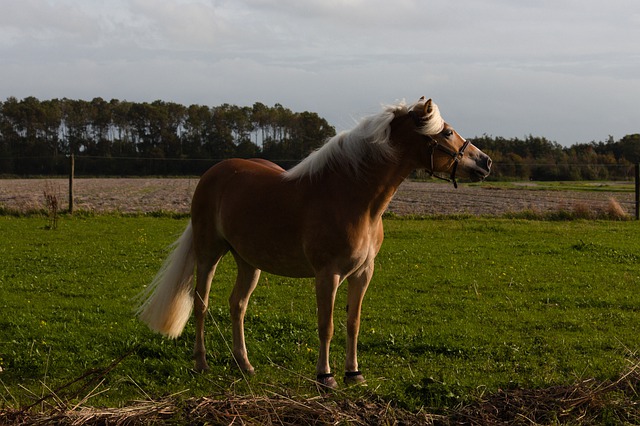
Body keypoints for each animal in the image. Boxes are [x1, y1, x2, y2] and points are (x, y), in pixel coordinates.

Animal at [138, 96, 492, 390]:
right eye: (447, 132)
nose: (485, 162)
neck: (352, 197)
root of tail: (214, 173)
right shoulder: (327, 274)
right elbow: (327, 325)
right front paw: (326, 376)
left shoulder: (363, 273)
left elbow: (353, 323)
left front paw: (354, 373)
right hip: (209, 253)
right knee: (201, 303)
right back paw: (201, 363)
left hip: (248, 262)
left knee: (237, 305)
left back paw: (244, 365)